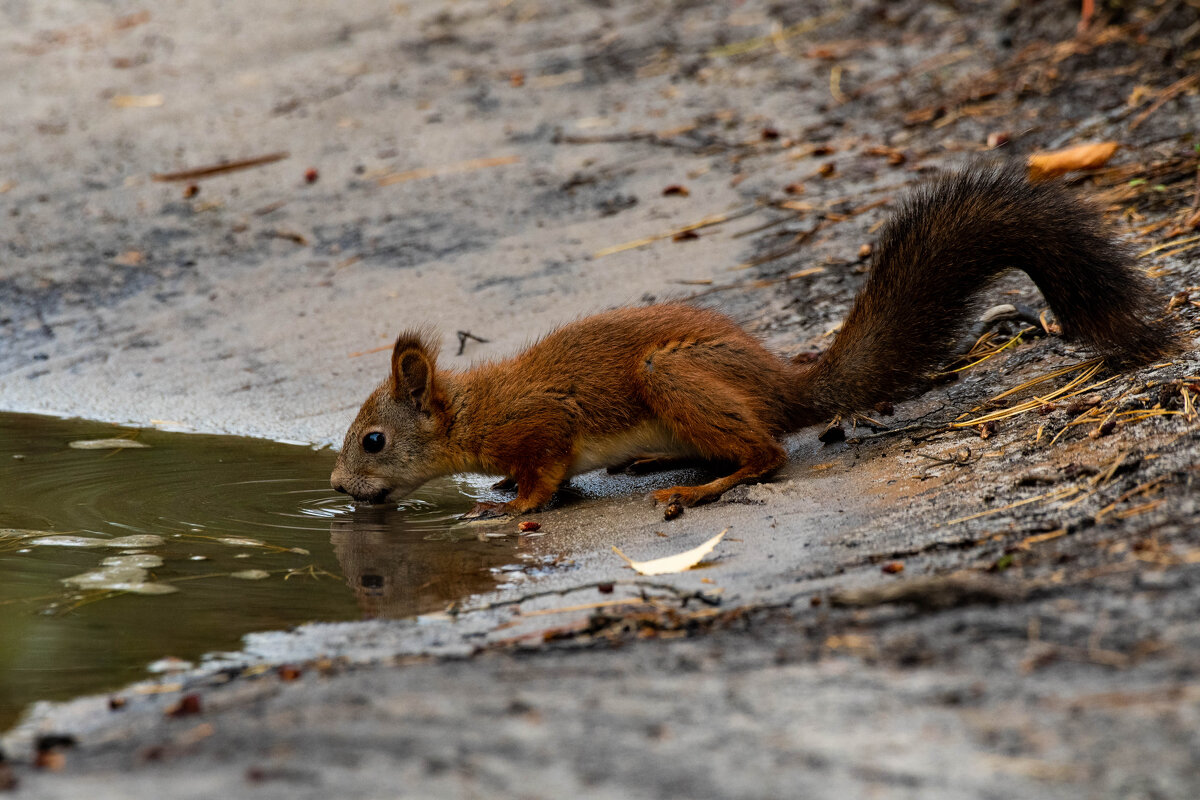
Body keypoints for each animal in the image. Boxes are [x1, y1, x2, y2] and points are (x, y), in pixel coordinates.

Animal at [331, 167, 1180, 520]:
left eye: (373, 441)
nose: (338, 489)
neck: (474, 413)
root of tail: (784, 381)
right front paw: (505, 491)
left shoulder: (541, 424)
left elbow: (547, 472)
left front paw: (511, 504)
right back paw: (662, 461)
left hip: (672, 375)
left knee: (766, 452)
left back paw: (700, 487)